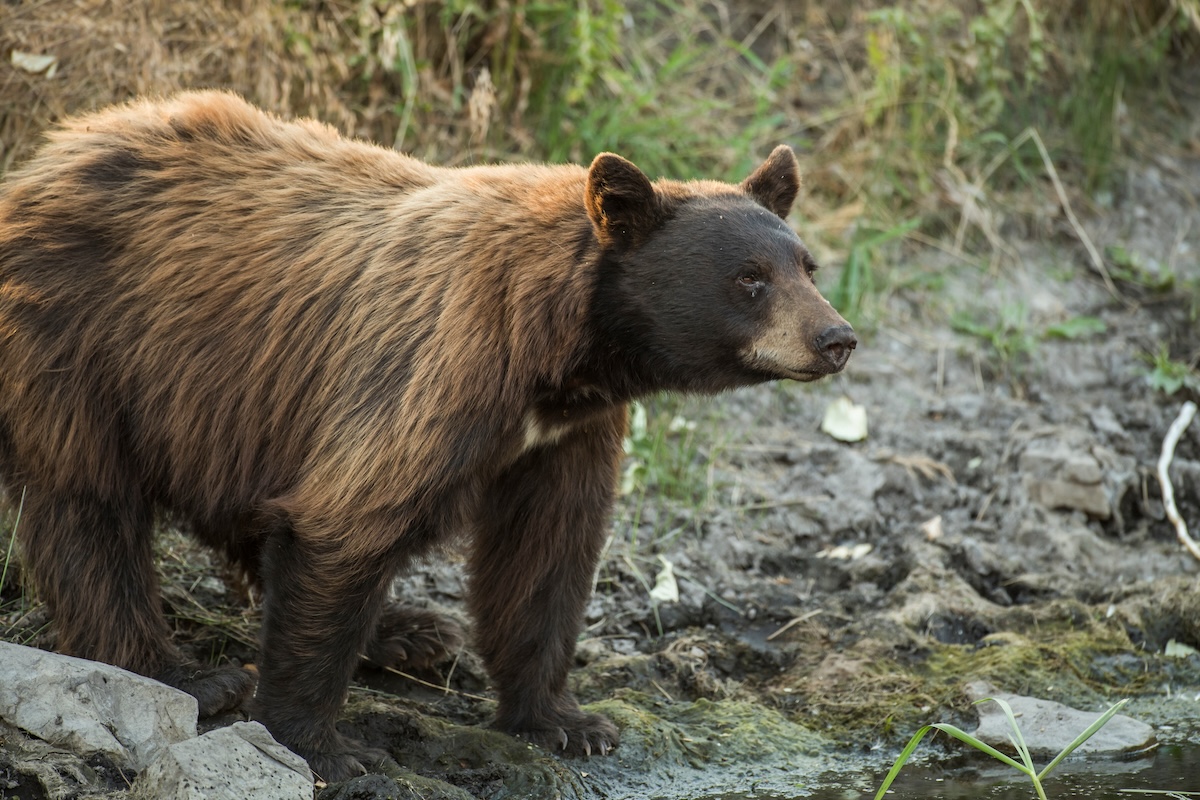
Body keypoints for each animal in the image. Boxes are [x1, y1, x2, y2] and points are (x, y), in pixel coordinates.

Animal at [0, 91, 855, 782]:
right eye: (750, 279)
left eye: (807, 266)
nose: (837, 338)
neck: (558, 354)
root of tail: (47, 156)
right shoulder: (437, 369)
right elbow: (347, 521)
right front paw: (321, 745)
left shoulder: (566, 434)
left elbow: (546, 553)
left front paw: (567, 720)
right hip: (85, 339)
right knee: (88, 506)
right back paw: (183, 672)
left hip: (236, 407)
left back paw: (410, 633)